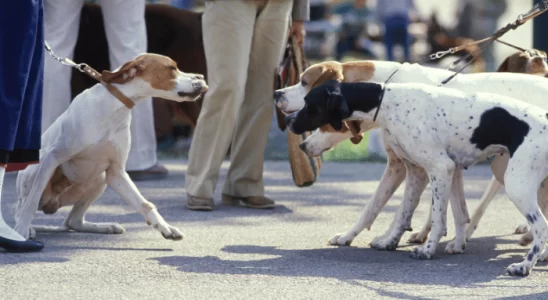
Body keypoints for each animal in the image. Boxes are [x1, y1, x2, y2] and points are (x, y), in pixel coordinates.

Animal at [14, 53, 210, 241]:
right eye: (171, 68)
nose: (201, 76)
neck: (114, 107)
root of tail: (52, 204)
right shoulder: (53, 158)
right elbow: (32, 200)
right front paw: (22, 231)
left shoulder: (116, 173)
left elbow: (145, 204)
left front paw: (166, 228)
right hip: (36, 168)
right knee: (21, 209)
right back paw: (25, 228)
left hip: (100, 178)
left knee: (73, 221)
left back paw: (105, 227)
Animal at [274, 54, 548, 255]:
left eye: (304, 81)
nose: (277, 94)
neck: (388, 89)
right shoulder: (416, 166)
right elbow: (404, 207)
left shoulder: (418, 167)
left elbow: (382, 208)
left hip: (510, 172)